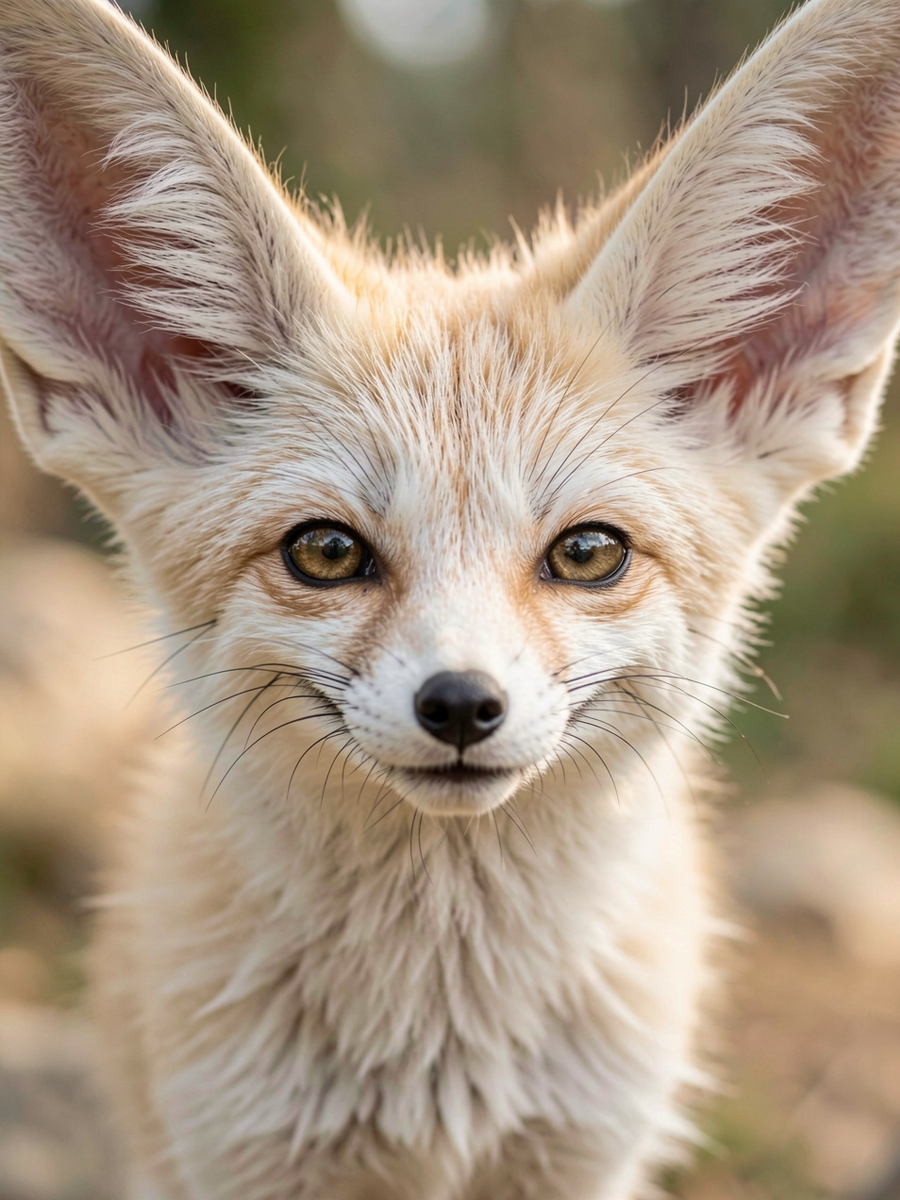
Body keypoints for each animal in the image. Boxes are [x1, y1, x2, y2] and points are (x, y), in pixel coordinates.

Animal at [2, 0, 900, 1196]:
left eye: (588, 554)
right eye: (326, 552)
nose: (463, 704)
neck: (441, 1068)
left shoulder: (584, 1156)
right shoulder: (242, 1154)